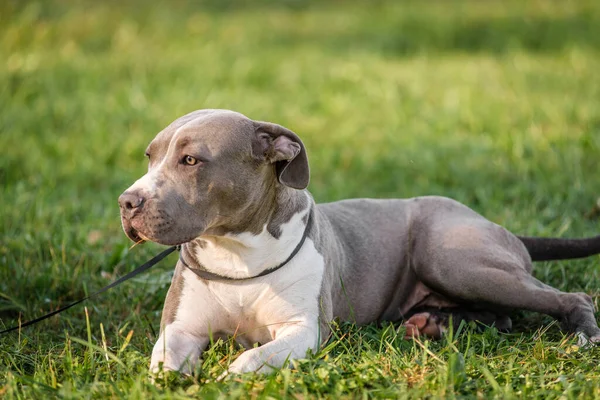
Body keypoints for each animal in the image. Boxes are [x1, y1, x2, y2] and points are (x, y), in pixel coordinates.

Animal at [118, 108, 600, 376]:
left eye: (191, 160)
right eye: (149, 157)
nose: (127, 202)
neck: (237, 253)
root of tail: (488, 221)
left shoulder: (303, 331)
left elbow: (254, 358)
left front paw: (233, 374)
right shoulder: (181, 329)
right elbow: (163, 363)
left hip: (453, 259)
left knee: (569, 298)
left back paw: (584, 337)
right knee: (502, 318)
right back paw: (433, 324)